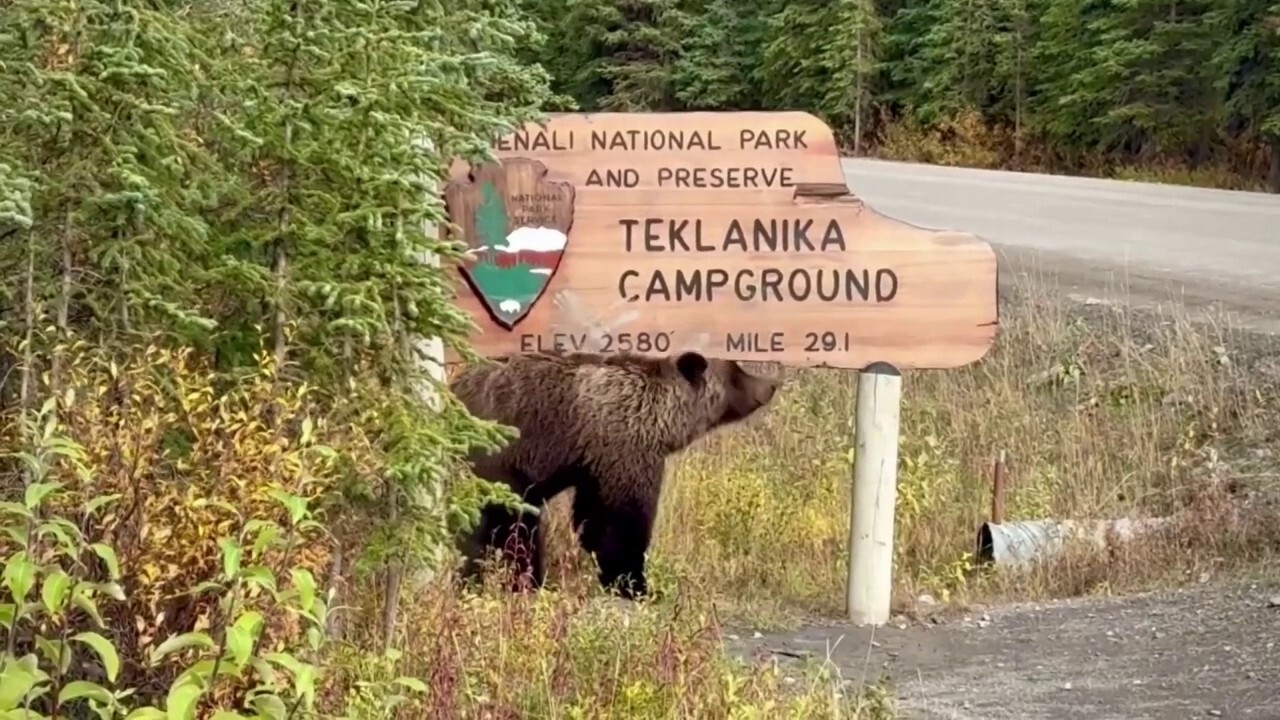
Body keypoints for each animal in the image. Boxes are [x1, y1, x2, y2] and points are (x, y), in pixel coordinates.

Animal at [450, 351, 778, 597]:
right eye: (737, 372)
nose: (771, 385)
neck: (662, 421)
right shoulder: (624, 452)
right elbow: (621, 523)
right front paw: (635, 583)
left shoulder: (594, 467)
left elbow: (592, 517)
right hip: (498, 460)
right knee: (503, 525)